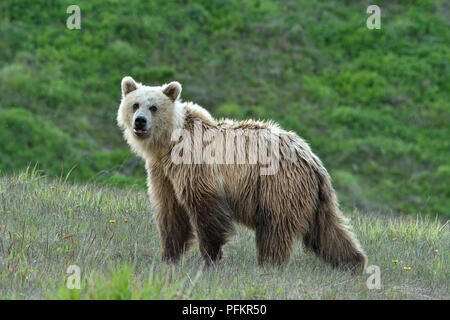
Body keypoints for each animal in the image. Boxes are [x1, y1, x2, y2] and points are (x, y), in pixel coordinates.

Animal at [118, 77, 368, 272]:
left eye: (154, 107)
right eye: (135, 104)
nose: (140, 121)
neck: (168, 145)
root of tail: (312, 159)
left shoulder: (195, 166)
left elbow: (206, 211)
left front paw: (210, 258)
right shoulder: (163, 173)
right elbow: (170, 212)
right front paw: (169, 256)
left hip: (278, 186)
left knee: (274, 228)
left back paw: (268, 265)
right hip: (312, 197)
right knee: (328, 230)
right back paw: (353, 263)